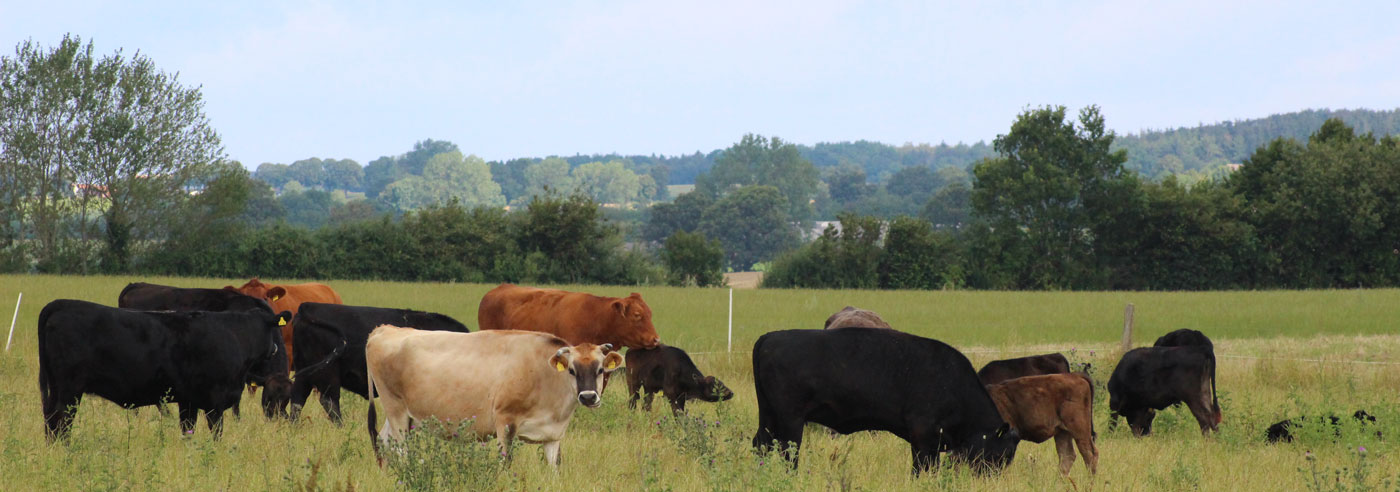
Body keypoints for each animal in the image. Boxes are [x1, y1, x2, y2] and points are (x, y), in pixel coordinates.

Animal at [39, 298, 289, 440]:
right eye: (273, 330)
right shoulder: (215, 403)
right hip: (70, 390)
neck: (236, 336)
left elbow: (187, 431)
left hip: (56, 387)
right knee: (61, 421)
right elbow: (216, 435)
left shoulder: (188, 401)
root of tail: (64, 304)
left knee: (50, 420)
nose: (275, 348)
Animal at [364, 325, 621, 468]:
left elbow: (554, 467)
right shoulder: (505, 422)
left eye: (600, 369)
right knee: (400, 449)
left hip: (404, 417)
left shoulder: (553, 435)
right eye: (572, 370)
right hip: (395, 409)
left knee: (384, 442)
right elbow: (505, 462)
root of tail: (385, 329)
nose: (588, 397)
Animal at [756, 329, 1019, 476]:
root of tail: (769, 337)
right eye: (1000, 453)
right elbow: (921, 469)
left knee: (762, 444)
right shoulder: (923, 438)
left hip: (768, 415)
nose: (991, 477)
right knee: (788, 452)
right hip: (791, 420)